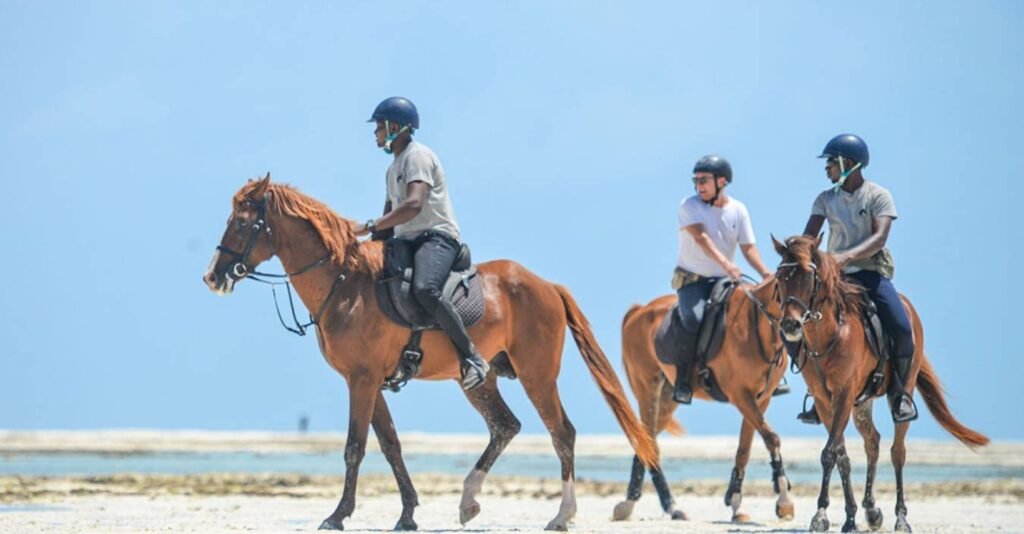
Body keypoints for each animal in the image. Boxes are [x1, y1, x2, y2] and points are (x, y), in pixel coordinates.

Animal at [202, 175, 658, 531]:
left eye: (241, 223)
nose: (212, 276)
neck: (344, 284)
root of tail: (546, 285)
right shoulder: (370, 383)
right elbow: (391, 446)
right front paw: (407, 514)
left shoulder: (361, 381)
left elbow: (355, 447)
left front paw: (338, 515)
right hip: (479, 379)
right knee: (505, 426)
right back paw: (469, 501)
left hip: (537, 375)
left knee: (562, 432)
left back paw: (562, 515)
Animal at [611, 277, 796, 524]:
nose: (796, 326)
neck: (758, 326)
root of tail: (639, 310)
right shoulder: (741, 396)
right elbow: (771, 438)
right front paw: (784, 501)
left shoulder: (760, 400)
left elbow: (744, 449)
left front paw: (736, 505)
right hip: (648, 390)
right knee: (648, 441)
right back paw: (662, 506)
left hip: (667, 401)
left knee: (645, 442)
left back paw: (638, 505)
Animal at [771, 234, 989, 533]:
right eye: (780, 277)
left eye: (809, 277)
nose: (790, 325)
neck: (829, 335)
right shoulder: (825, 401)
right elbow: (840, 455)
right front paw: (846, 516)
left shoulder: (843, 395)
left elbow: (829, 453)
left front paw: (822, 516)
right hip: (861, 403)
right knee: (872, 442)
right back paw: (872, 510)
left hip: (900, 390)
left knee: (898, 452)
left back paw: (901, 518)